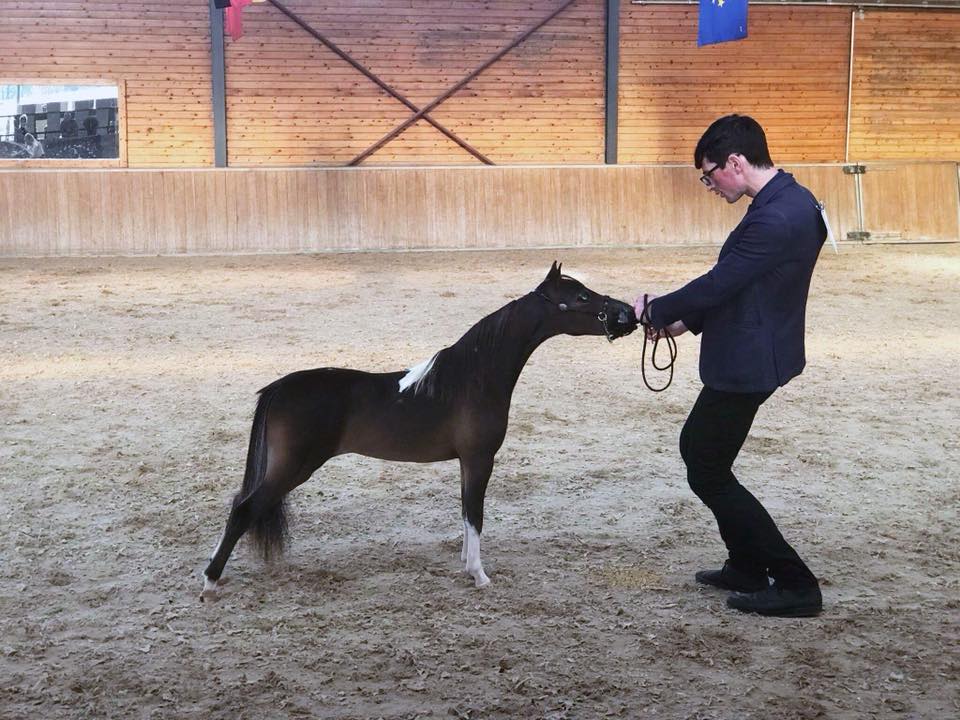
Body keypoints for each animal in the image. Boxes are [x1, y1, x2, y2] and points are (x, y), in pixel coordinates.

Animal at [201, 262, 637, 601]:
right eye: (580, 297)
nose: (626, 314)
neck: (471, 378)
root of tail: (278, 389)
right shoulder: (480, 459)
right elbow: (476, 514)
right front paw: (479, 575)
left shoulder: (466, 463)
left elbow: (465, 512)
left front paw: (466, 563)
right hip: (293, 468)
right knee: (242, 510)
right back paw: (209, 582)